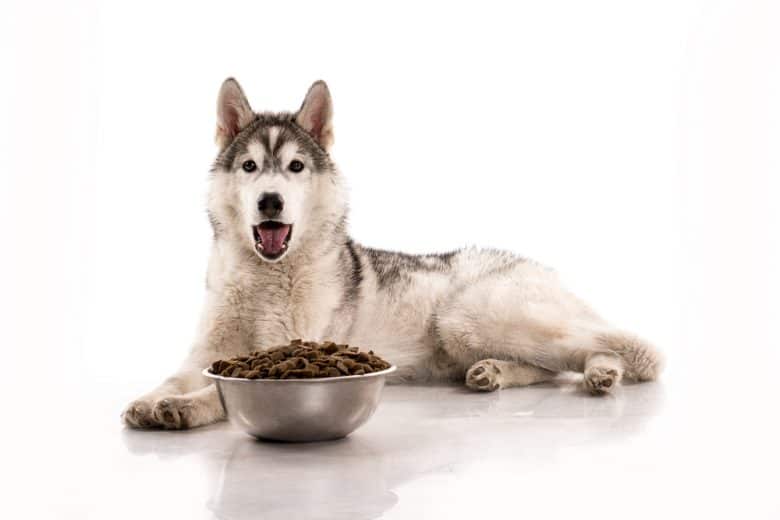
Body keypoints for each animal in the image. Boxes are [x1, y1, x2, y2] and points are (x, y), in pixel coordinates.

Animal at [123, 79, 664, 428]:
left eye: (295, 167)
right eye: (250, 166)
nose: (270, 201)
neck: (264, 277)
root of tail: (538, 266)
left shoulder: (277, 351)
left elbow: (216, 391)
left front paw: (186, 408)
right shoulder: (207, 353)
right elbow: (171, 379)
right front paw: (149, 400)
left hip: (469, 317)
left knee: (617, 344)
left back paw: (605, 369)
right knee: (551, 365)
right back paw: (498, 372)